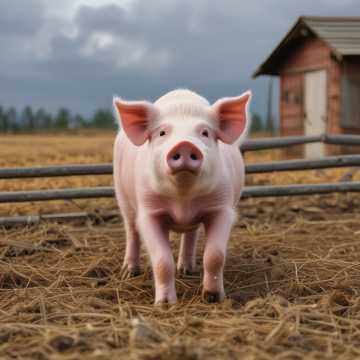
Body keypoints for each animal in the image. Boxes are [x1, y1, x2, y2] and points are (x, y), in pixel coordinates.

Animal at [112, 88, 250, 304]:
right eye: (162, 132)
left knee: (191, 234)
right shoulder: (149, 212)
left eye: (205, 132)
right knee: (132, 231)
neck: (183, 199)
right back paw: (128, 272)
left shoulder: (222, 208)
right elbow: (162, 261)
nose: (184, 145)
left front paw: (212, 297)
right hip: (122, 195)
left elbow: (215, 255)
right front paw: (165, 304)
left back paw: (186, 270)